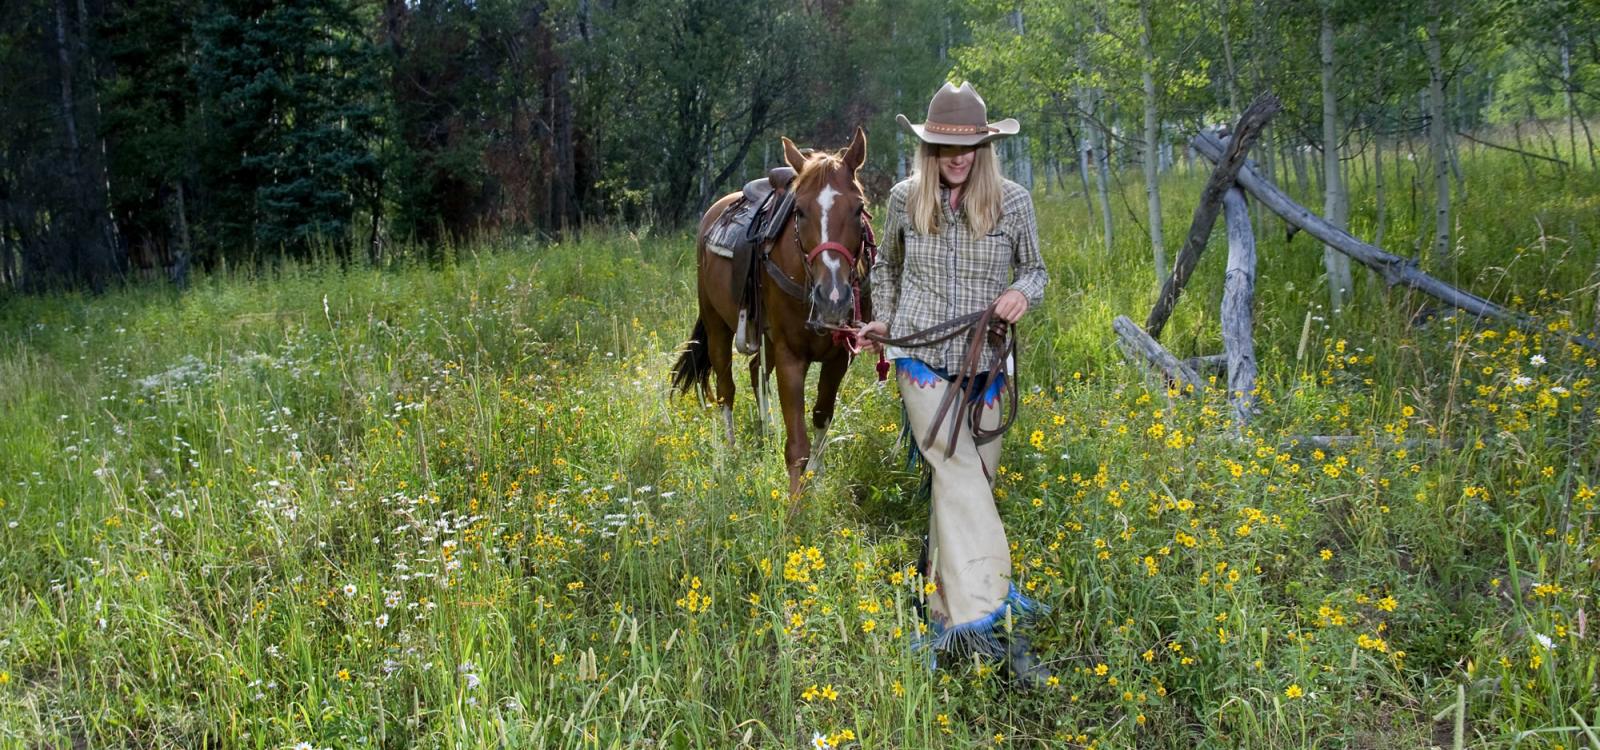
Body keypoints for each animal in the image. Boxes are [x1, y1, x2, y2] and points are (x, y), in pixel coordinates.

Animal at [672, 125, 883, 492]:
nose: (832, 297)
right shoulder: (790, 356)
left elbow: (822, 415)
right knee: (726, 388)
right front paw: (796, 501)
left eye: (859, 209)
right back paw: (730, 450)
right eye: (799, 211)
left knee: (756, 370)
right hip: (716, 325)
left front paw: (817, 480)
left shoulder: (840, 356)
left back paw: (766, 430)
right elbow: (797, 444)